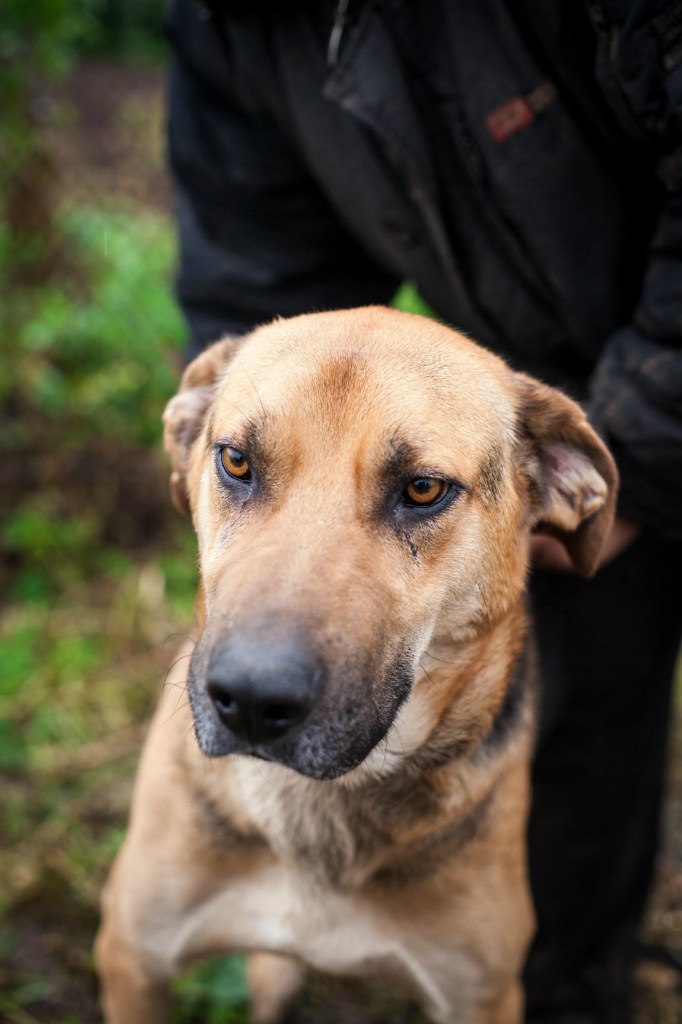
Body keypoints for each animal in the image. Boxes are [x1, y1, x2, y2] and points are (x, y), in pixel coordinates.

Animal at [96, 307, 614, 1019]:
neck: (317, 811)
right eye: (235, 460)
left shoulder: (481, 994)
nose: (250, 700)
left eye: (422, 489)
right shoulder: (134, 954)